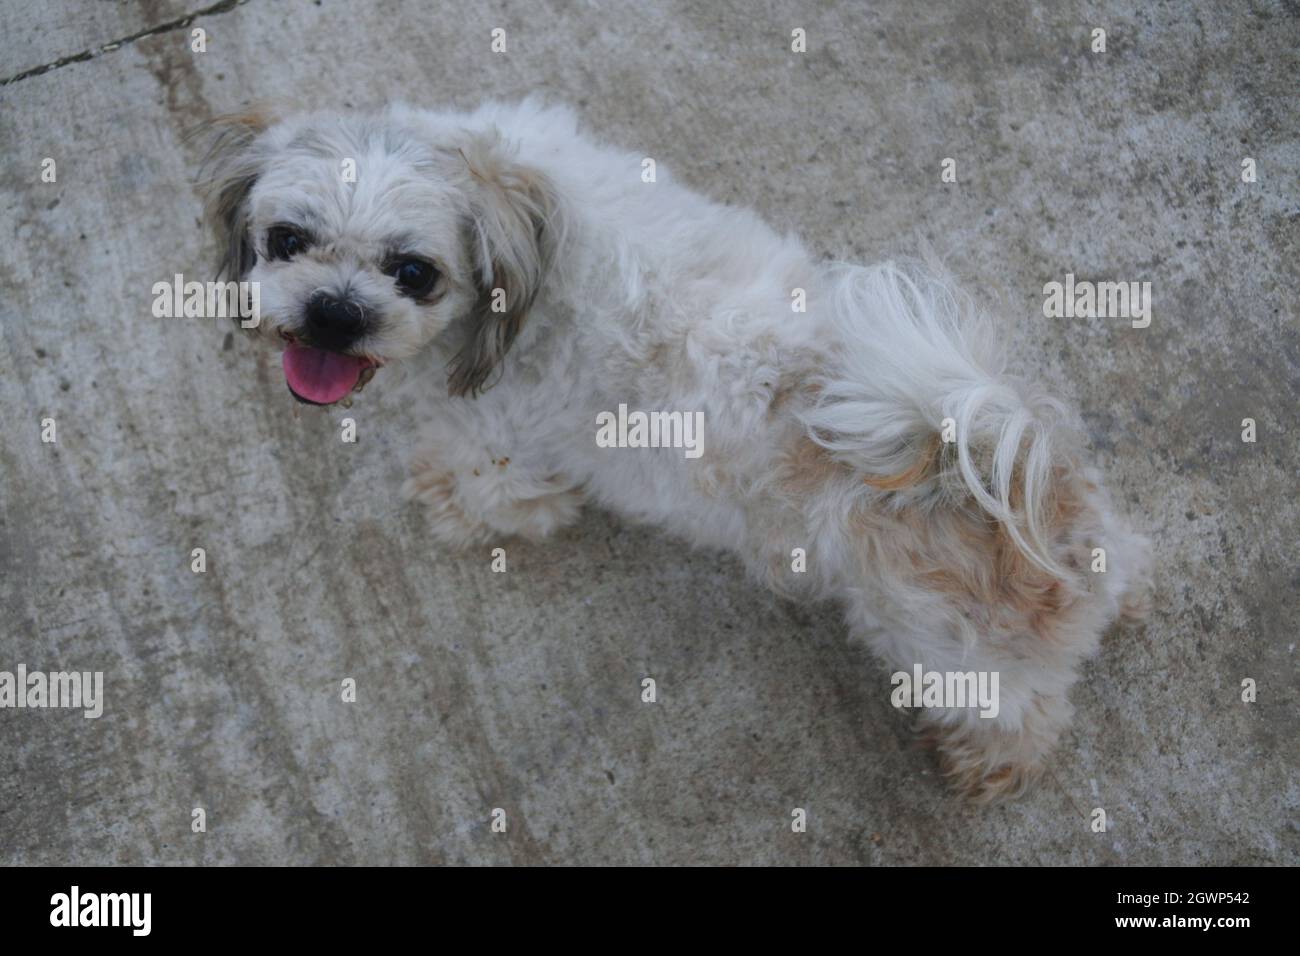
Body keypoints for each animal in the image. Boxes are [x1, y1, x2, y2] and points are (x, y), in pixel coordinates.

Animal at [197, 98, 1154, 801]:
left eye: (414, 273)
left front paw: (442, 498)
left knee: (1020, 713)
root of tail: (988, 457)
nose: (334, 312)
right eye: (285, 240)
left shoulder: (508, 456)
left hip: (946, 651)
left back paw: (990, 763)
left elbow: (491, 493)